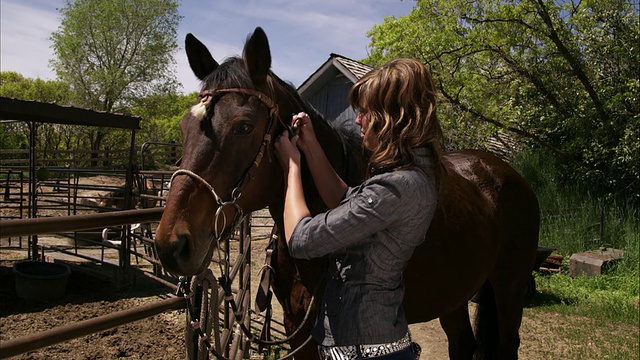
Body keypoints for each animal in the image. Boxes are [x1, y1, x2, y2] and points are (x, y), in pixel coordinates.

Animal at [155, 26, 540, 358]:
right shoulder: (297, 329)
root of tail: (508, 174)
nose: (172, 244)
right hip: (454, 293)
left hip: (509, 287)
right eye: (184, 127)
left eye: (244, 127)